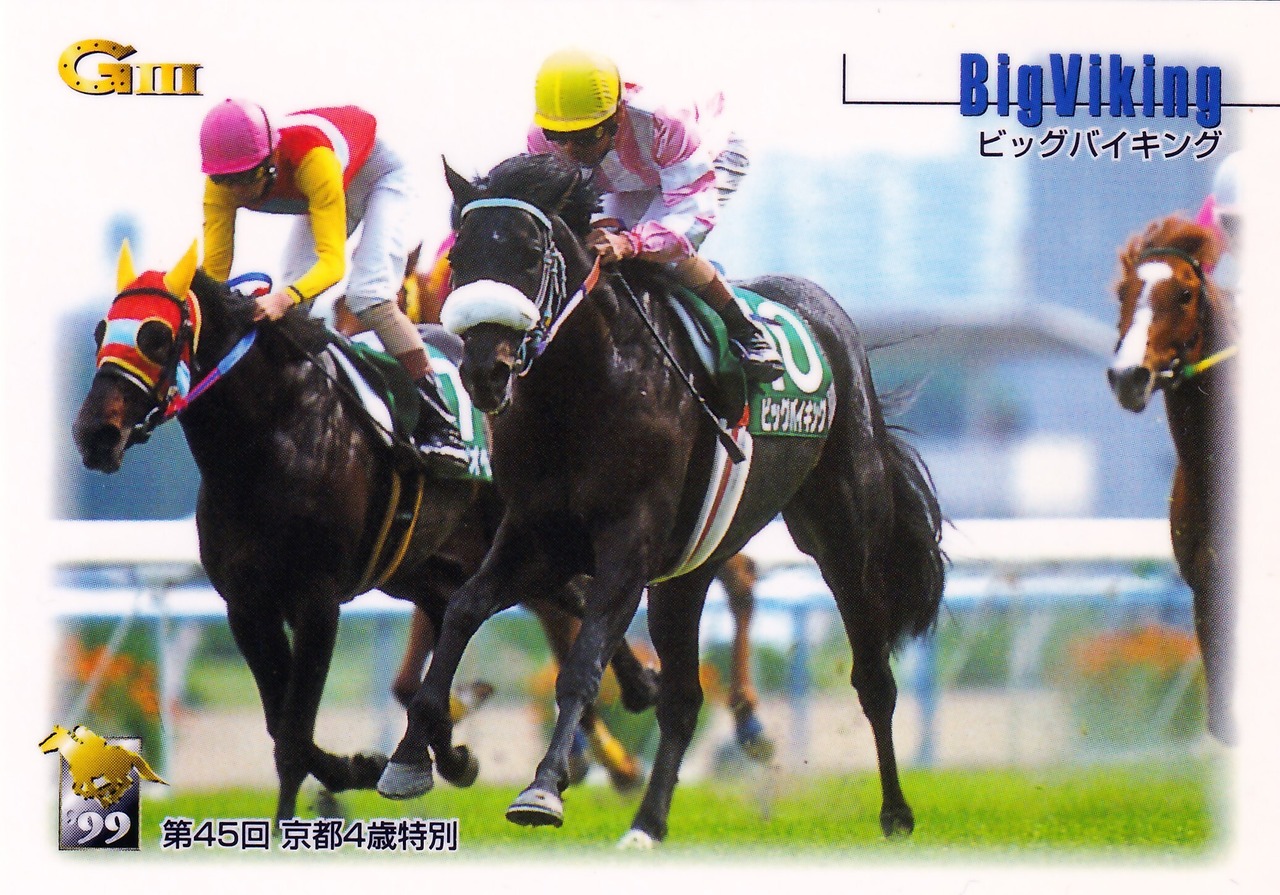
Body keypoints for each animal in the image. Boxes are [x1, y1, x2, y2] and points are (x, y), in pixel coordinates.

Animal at [71, 241, 661, 821]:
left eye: (155, 336)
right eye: (100, 332)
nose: (94, 433)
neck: (268, 440)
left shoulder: (316, 598)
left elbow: (294, 730)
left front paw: (302, 809)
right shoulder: (246, 604)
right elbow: (283, 723)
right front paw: (358, 768)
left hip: (516, 534)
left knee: (571, 594)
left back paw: (636, 692)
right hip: (420, 565)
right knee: (466, 615)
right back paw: (453, 751)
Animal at [377, 153, 946, 846]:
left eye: (531, 255)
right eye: (462, 258)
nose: (485, 370)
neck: (585, 389)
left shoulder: (627, 545)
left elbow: (583, 663)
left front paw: (543, 789)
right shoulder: (533, 538)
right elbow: (462, 614)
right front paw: (413, 757)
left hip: (839, 534)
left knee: (871, 674)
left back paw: (894, 811)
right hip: (688, 569)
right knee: (683, 699)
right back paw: (648, 822)